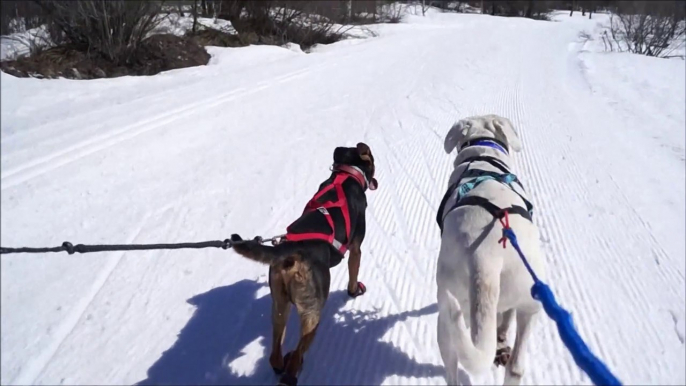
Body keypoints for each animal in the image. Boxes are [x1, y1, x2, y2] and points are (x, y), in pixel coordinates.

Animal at [232, 142, 382, 386]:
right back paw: (293, 368)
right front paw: (354, 291)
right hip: (313, 309)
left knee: (275, 354)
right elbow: (354, 271)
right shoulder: (356, 248)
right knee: (297, 354)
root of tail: (291, 253)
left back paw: (282, 363)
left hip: (279, 302)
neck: (346, 173)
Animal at [440, 115, 548, 386]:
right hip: (530, 306)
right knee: (516, 367)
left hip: (447, 317)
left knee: (452, 371)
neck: (482, 150)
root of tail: (485, 257)